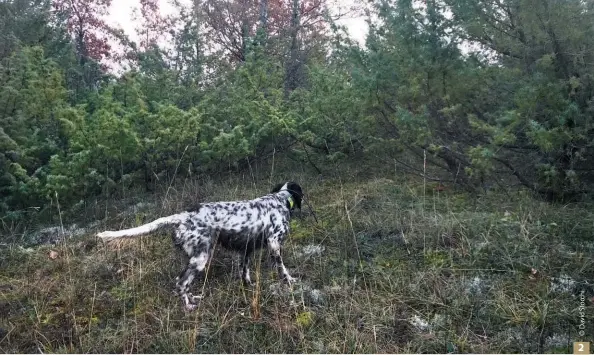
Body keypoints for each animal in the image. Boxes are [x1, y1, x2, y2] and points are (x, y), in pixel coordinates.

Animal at [96, 184, 302, 312]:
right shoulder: (274, 243)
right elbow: (282, 268)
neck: (280, 200)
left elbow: (245, 273)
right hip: (201, 258)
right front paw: (290, 280)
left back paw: (194, 298)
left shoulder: (245, 251)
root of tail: (182, 216)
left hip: (193, 258)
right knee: (180, 283)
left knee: (183, 283)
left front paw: (249, 286)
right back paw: (188, 307)